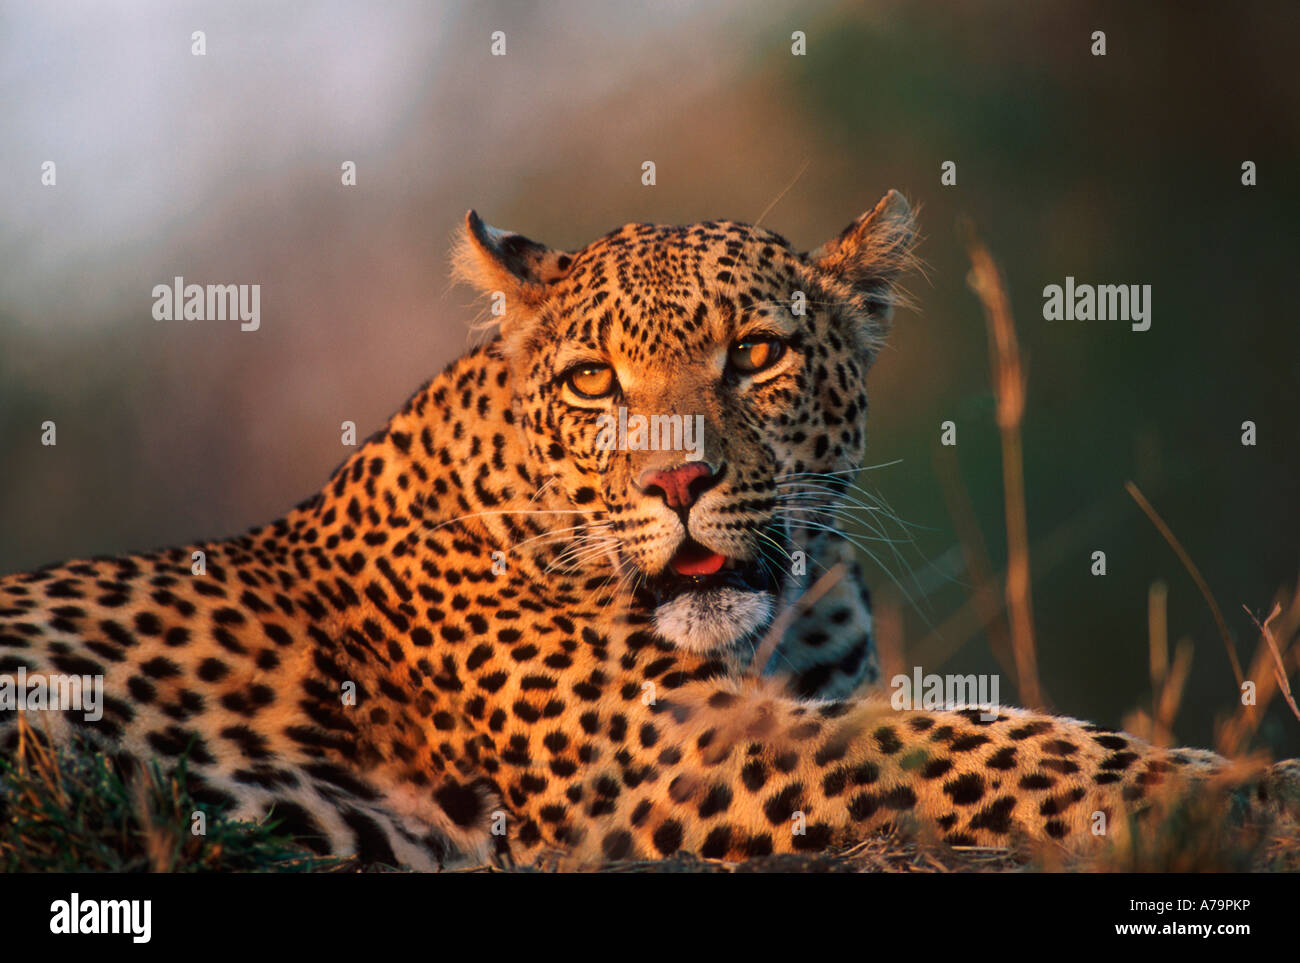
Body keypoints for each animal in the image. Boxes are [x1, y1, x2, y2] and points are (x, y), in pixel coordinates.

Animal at [1, 190, 1295, 870]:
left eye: (756, 353)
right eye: (592, 381)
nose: (679, 477)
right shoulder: (675, 753)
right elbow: (994, 746)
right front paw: (1240, 790)